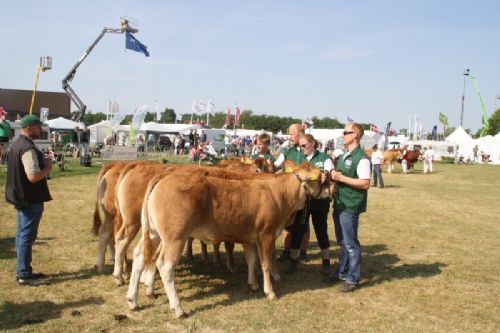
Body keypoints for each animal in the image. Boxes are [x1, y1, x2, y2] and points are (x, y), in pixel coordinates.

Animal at [127, 161, 322, 316]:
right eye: (320, 178)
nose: (327, 187)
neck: (278, 194)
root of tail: (164, 177)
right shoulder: (266, 235)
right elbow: (265, 263)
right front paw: (270, 292)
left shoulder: (249, 238)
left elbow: (252, 260)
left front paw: (253, 284)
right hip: (174, 238)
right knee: (165, 266)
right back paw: (178, 308)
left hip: (153, 233)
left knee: (139, 255)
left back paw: (132, 300)